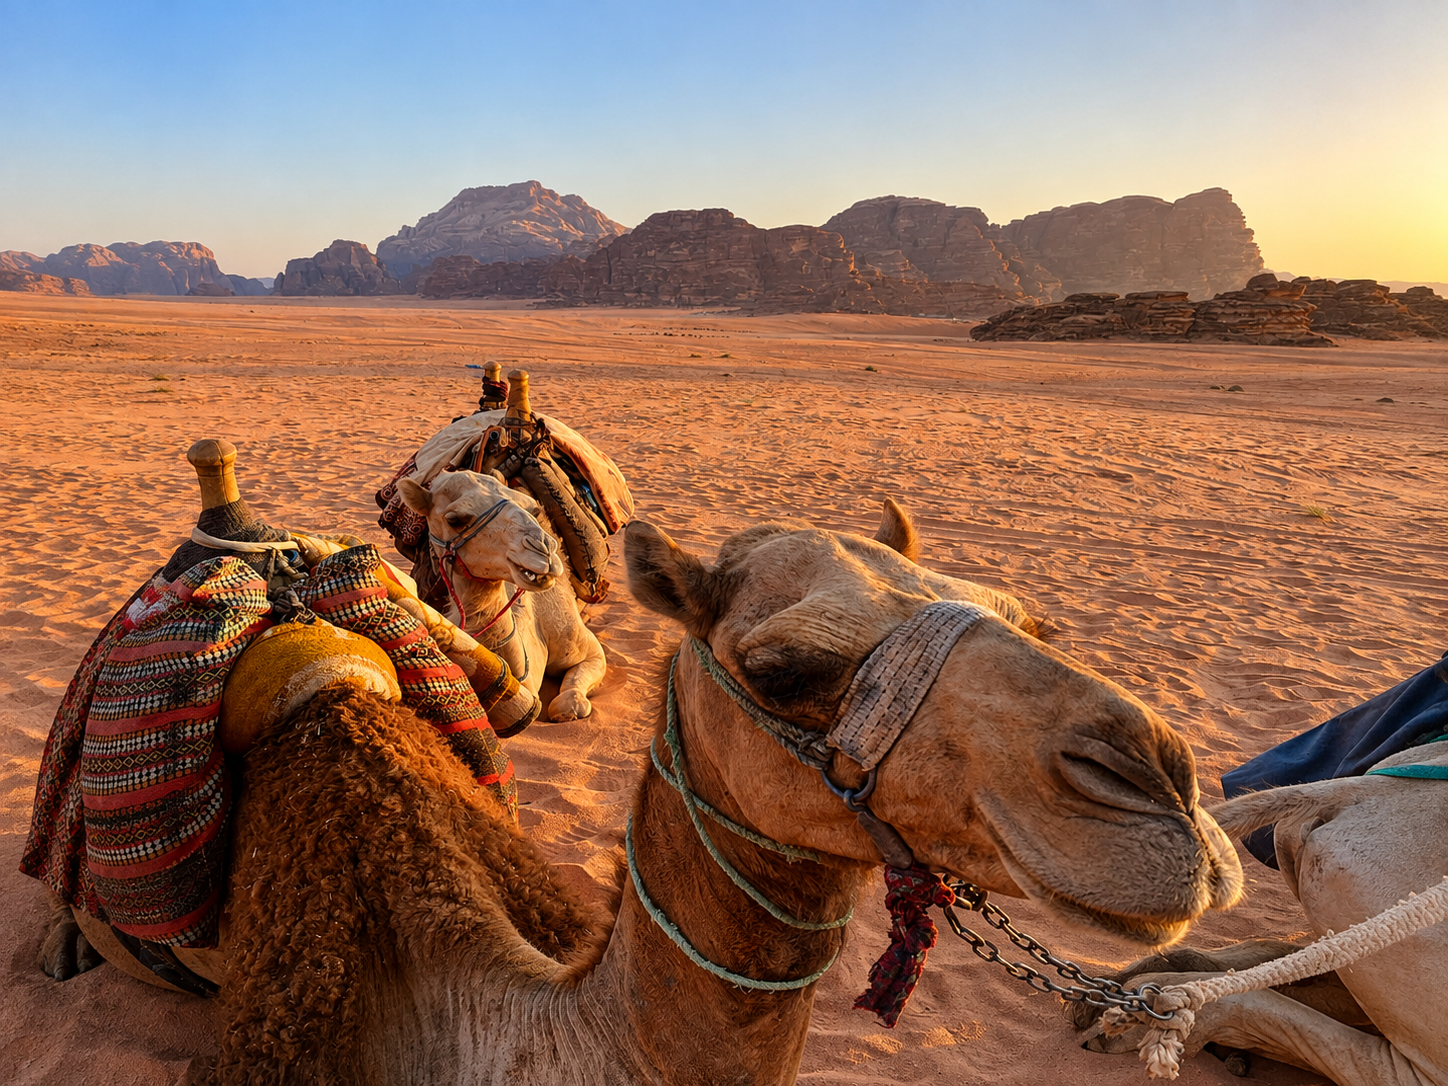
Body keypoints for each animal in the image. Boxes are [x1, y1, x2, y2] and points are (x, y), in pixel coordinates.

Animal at [395, 469, 607, 721]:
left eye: (531, 508)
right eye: (454, 519)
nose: (543, 549)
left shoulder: (581, 642)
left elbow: (568, 699)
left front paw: (572, 707)